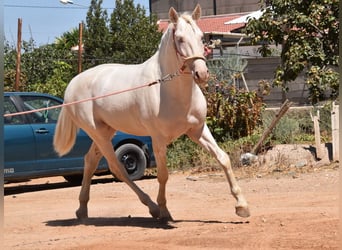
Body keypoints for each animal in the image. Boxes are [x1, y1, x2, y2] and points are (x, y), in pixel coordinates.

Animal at [54, 4, 251, 221]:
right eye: (180, 38)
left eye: (201, 36)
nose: (202, 74)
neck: (170, 91)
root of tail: (74, 83)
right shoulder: (158, 139)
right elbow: (163, 174)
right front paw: (164, 210)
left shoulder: (198, 130)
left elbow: (223, 158)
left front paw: (242, 206)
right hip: (98, 134)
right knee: (117, 168)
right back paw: (152, 207)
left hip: (106, 132)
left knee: (90, 161)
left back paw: (82, 210)